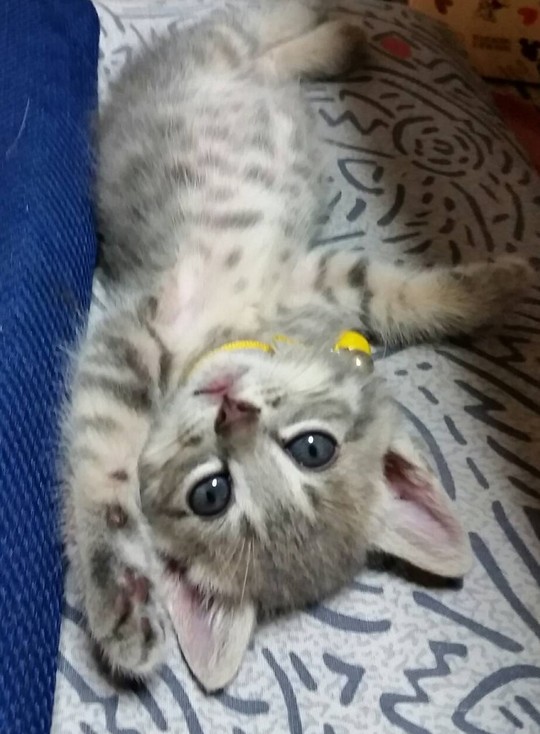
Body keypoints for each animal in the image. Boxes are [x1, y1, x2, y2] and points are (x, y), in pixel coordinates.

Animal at [63, 0, 534, 692]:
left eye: (312, 449)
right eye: (211, 493)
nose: (232, 411)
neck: (241, 328)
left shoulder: (326, 277)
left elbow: (399, 296)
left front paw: (499, 289)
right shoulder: (132, 340)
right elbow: (102, 468)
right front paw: (121, 595)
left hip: (235, 62)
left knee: (267, 46)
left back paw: (339, 38)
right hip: (220, 49)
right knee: (250, 23)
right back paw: (334, 25)